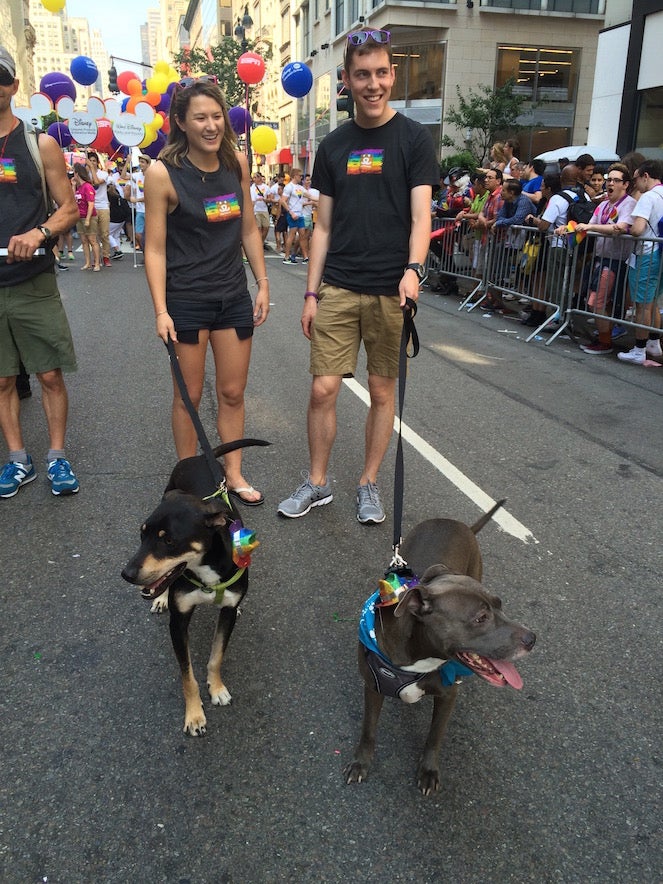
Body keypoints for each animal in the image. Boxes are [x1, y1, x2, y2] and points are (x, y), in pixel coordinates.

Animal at [123, 438, 268, 736]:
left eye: (169, 541)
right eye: (142, 535)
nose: (126, 574)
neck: (205, 570)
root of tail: (198, 457)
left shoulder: (225, 615)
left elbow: (216, 656)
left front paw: (218, 689)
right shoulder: (178, 623)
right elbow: (187, 675)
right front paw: (194, 715)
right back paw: (161, 599)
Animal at [344, 500, 536, 796]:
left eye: (500, 604)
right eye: (480, 618)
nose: (532, 638)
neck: (419, 655)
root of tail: (459, 523)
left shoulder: (447, 695)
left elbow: (435, 735)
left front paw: (428, 771)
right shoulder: (372, 687)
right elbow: (369, 729)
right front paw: (360, 763)